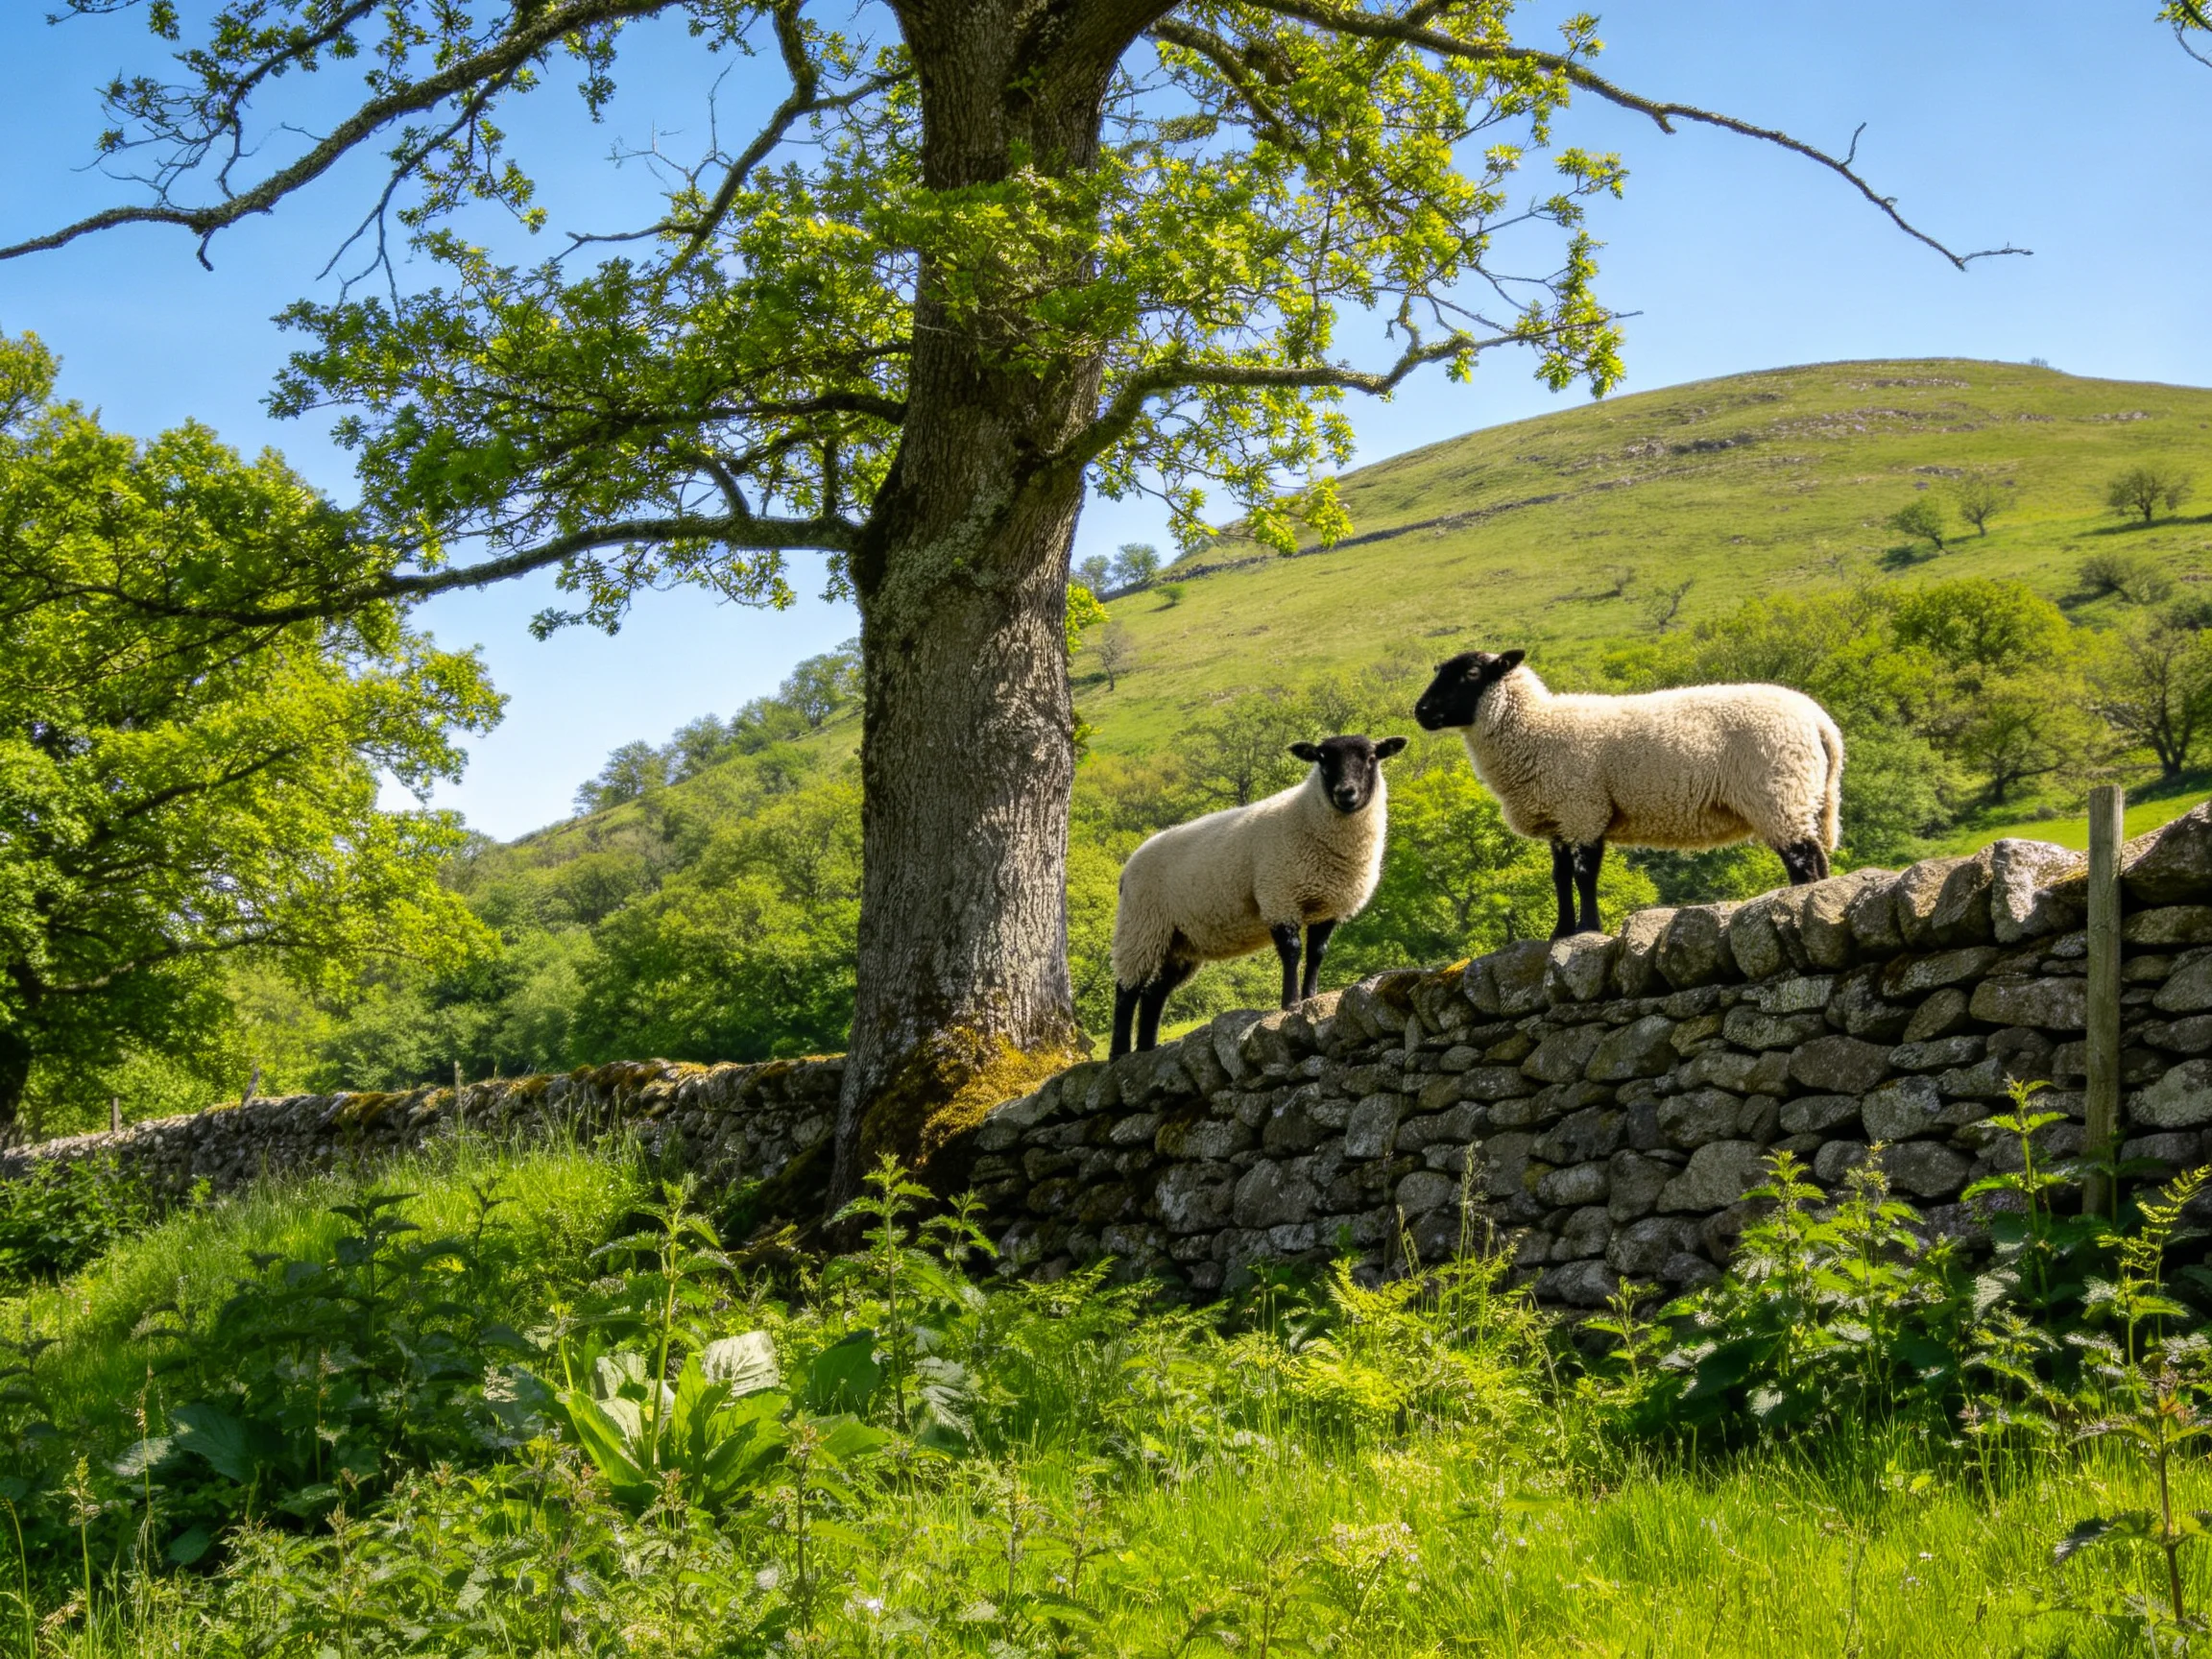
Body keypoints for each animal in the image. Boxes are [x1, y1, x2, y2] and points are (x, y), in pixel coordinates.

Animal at [1110, 733, 1408, 1056]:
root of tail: (1128, 867)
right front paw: (1290, 1003)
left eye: (1371, 758)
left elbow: (1317, 953)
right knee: (1127, 989)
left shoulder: (1328, 905)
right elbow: (1292, 951)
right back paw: (1118, 1053)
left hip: (1178, 940)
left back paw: (1146, 1050)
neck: (1308, 816)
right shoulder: (1278, 896)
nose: (1346, 793)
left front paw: (1310, 997)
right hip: (1141, 925)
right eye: (1322, 759)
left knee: (1154, 993)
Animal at [1412, 648, 1843, 937]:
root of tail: (1821, 722)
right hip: (1800, 795)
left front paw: (1588, 928)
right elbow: (1560, 877)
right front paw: (1561, 932)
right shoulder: (1559, 818)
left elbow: (1585, 875)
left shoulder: (1584, 809)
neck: (1536, 728)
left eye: (1471, 673)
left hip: (1778, 793)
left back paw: (1798, 906)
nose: (1420, 712)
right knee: (1815, 860)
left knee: (1804, 860)